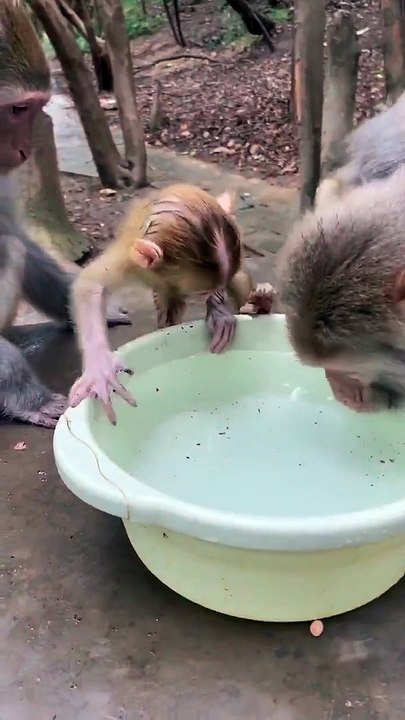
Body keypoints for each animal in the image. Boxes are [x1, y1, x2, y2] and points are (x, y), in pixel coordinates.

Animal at [0, 0, 129, 428]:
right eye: (17, 109)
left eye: (35, 108)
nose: (24, 150)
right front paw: (26, 395)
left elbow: (17, 234)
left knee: (11, 245)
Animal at [69, 184, 273, 423]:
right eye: (202, 292)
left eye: (211, 291)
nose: (211, 295)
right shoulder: (128, 261)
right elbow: (91, 284)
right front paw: (100, 371)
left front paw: (220, 314)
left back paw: (262, 302)